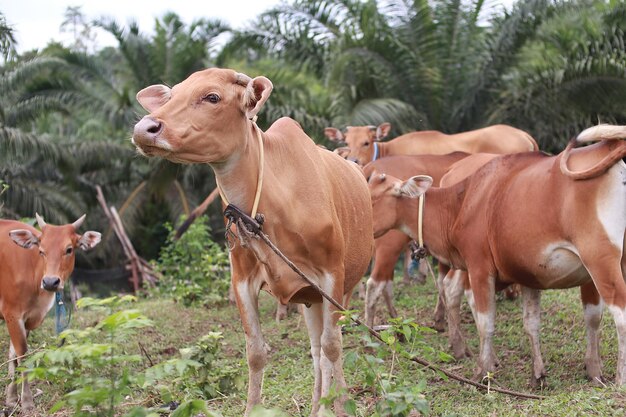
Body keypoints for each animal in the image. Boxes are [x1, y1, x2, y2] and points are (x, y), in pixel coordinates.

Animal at [0, 214, 100, 410]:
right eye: (41, 251)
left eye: (69, 249)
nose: (50, 282)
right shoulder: (11, 313)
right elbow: (23, 354)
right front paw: (27, 402)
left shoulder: (26, 318)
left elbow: (13, 356)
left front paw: (11, 398)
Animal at [132, 66, 372, 414]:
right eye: (172, 95)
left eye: (212, 97)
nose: (144, 129)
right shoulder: (242, 280)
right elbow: (256, 352)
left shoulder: (332, 276)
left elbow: (333, 347)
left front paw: (338, 407)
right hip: (310, 299)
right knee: (315, 349)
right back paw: (316, 405)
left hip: (346, 287)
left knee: (329, 346)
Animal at [366, 124, 624, 386]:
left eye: (373, 199)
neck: (462, 202)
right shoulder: (529, 274)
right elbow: (537, 322)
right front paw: (545, 373)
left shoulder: (479, 268)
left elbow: (485, 322)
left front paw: (483, 370)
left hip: (602, 263)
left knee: (621, 315)